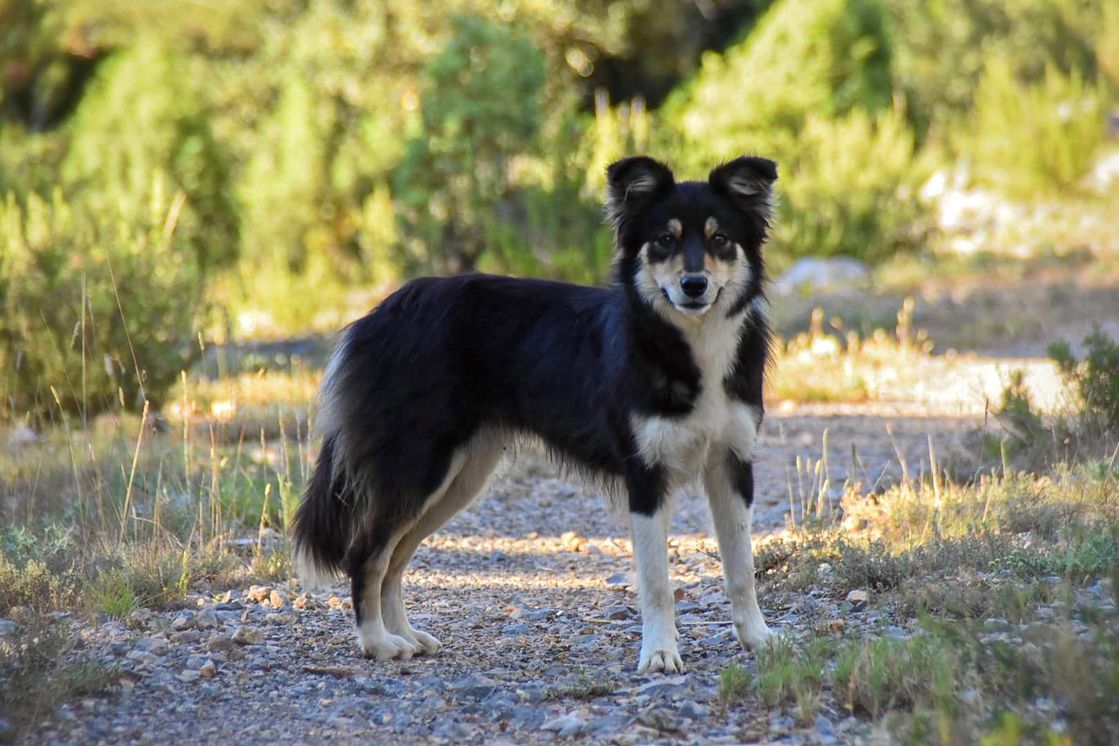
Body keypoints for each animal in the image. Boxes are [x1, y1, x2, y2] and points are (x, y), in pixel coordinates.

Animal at [295, 154, 778, 675]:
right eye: (665, 240)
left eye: (720, 239)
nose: (694, 285)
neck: (690, 341)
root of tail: (377, 315)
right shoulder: (646, 477)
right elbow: (657, 583)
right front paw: (660, 653)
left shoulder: (732, 465)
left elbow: (741, 569)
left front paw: (757, 638)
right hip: (417, 468)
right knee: (367, 554)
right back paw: (377, 643)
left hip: (458, 478)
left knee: (395, 559)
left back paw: (403, 634)